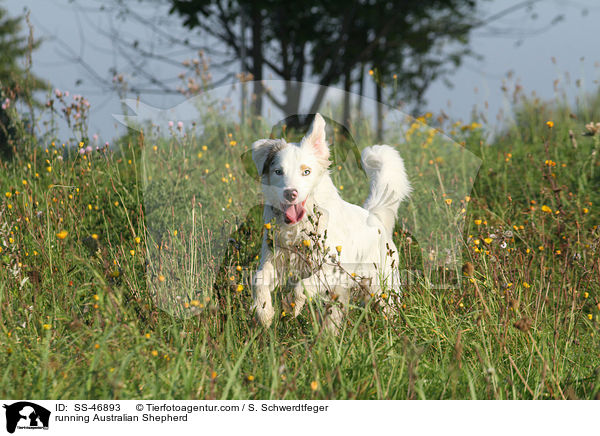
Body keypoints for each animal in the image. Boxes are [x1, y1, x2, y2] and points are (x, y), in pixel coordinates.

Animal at [251, 112, 410, 330]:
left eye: (306, 171)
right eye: (278, 172)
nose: (290, 193)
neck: (301, 229)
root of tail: (375, 217)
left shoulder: (334, 270)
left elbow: (302, 286)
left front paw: (291, 307)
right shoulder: (274, 261)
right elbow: (258, 280)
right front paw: (264, 313)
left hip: (383, 290)